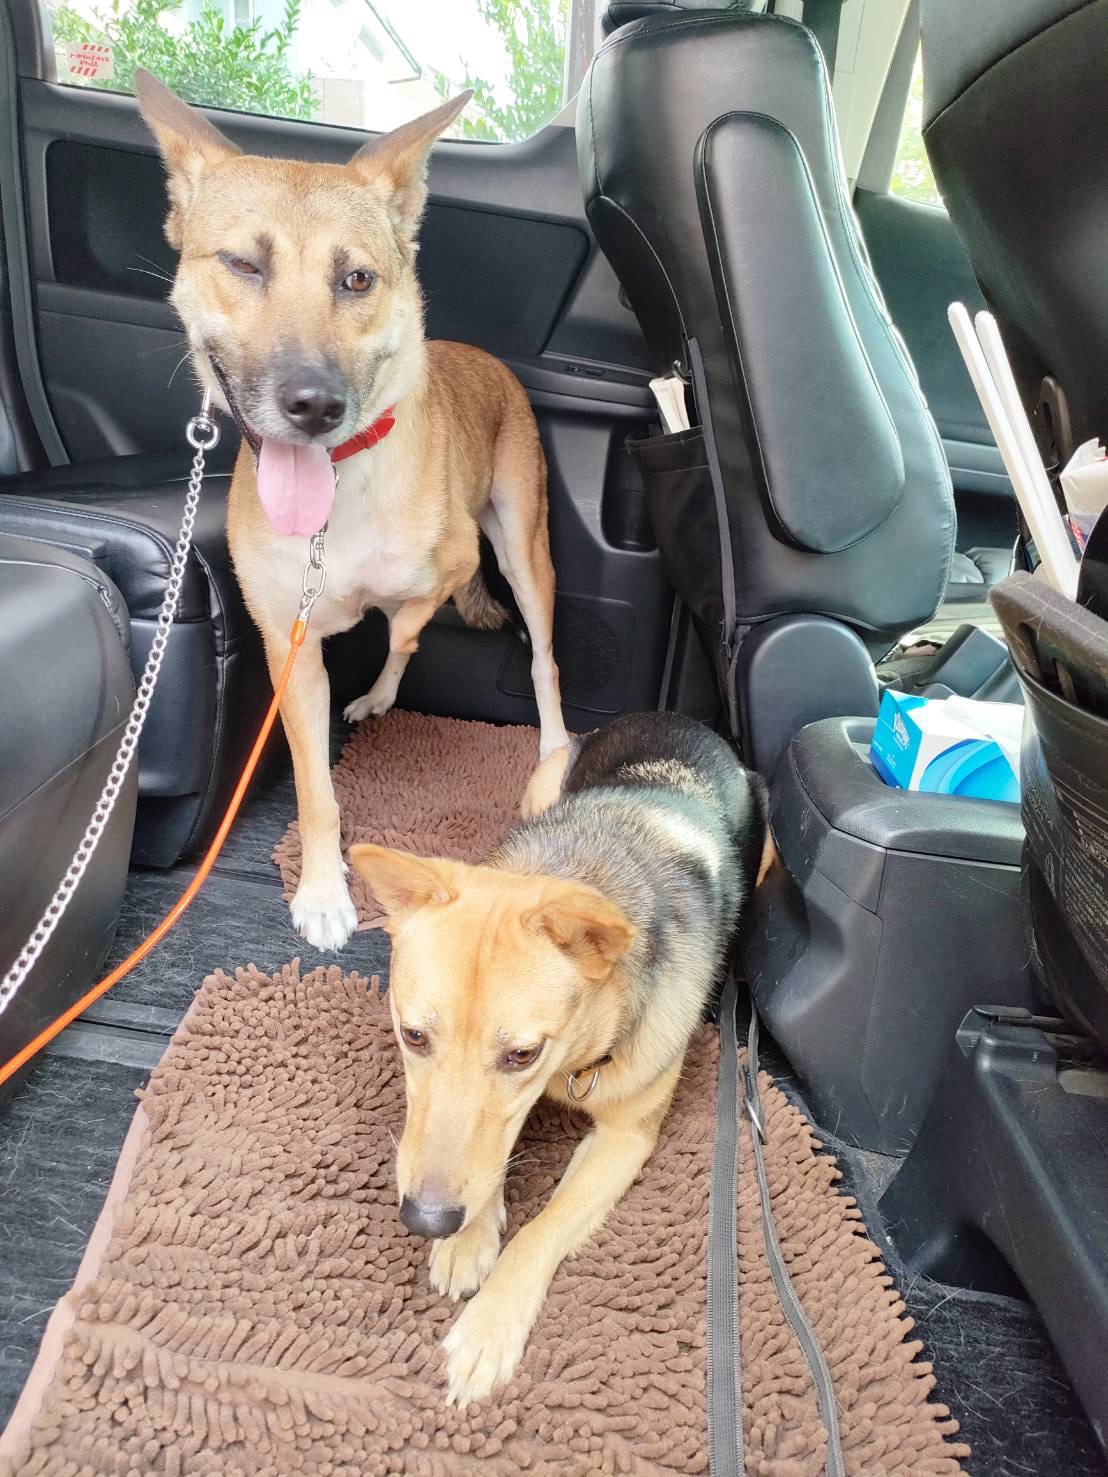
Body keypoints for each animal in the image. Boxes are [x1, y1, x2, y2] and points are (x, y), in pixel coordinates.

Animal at [135, 73, 570, 952]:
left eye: (358, 280)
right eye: (243, 263)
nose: (314, 405)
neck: (339, 494)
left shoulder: (453, 563)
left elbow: (410, 616)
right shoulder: (289, 648)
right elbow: (316, 789)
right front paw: (325, 889)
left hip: (523, 549)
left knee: (540, 657)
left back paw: (551, 749)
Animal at [351, 711, 766, 1404]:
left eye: (523, 1054)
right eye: (413, 1037)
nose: (429, 1220)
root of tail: (673, 716)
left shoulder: (625, 1139)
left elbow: (540, 1230)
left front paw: (490, 1324)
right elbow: (489, 1156)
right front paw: (470, 1238)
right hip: (546, 779)